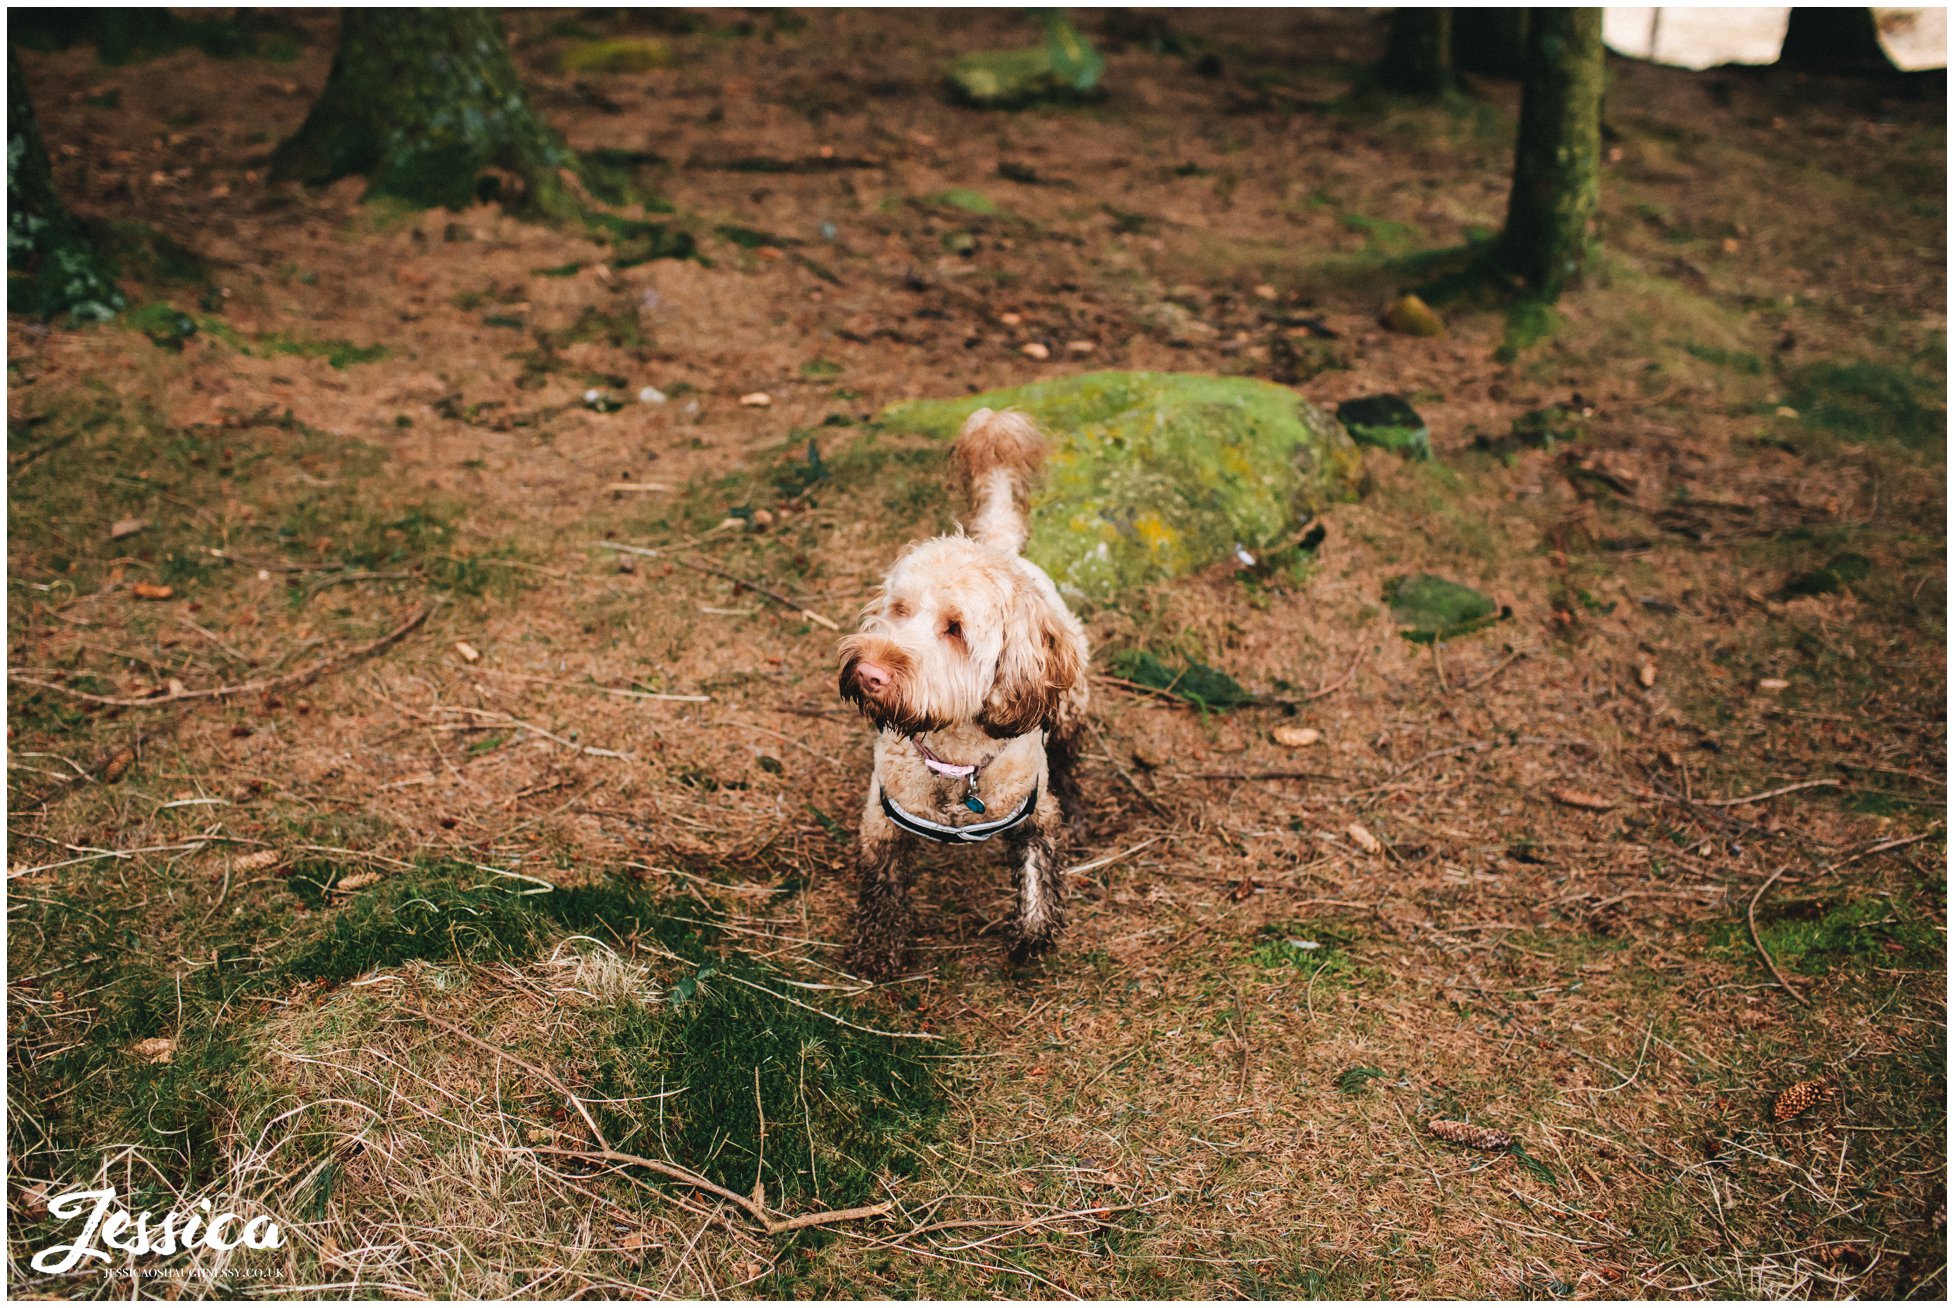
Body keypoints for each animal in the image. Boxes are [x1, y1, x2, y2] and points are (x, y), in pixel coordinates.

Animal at [836, 410, 1094, 977]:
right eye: (899, 608)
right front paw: (878, 949)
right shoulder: (881, 820)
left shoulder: (1035, 812)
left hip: (1070, 704)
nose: (869, 672)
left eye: (955, 629)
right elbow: (881, 887)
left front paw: (1033, 935)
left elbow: (1040, 870)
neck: (956, 763)